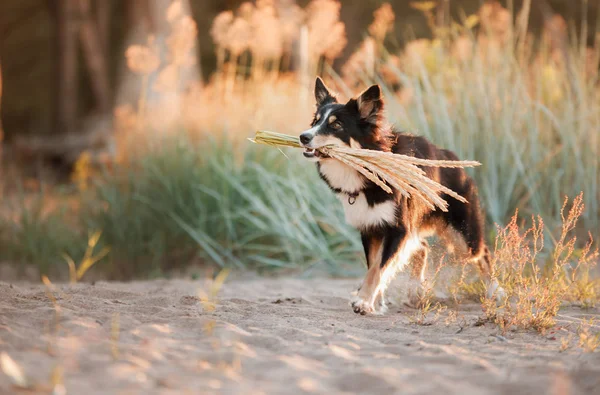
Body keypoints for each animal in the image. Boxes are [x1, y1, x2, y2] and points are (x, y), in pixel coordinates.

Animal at [298, 79, 502, 318]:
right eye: (315, 121)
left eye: (336, 125)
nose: (303, 136)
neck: (368, 171)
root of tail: (452, 157)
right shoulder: (371, 227)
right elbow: (374, 267)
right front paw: (373, 301)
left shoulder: (397, 228)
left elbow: (378, 269)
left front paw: (365, 302)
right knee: (422, 247)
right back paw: (415, 291)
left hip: (464, 236)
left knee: (482, 253)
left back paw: (495, 291)